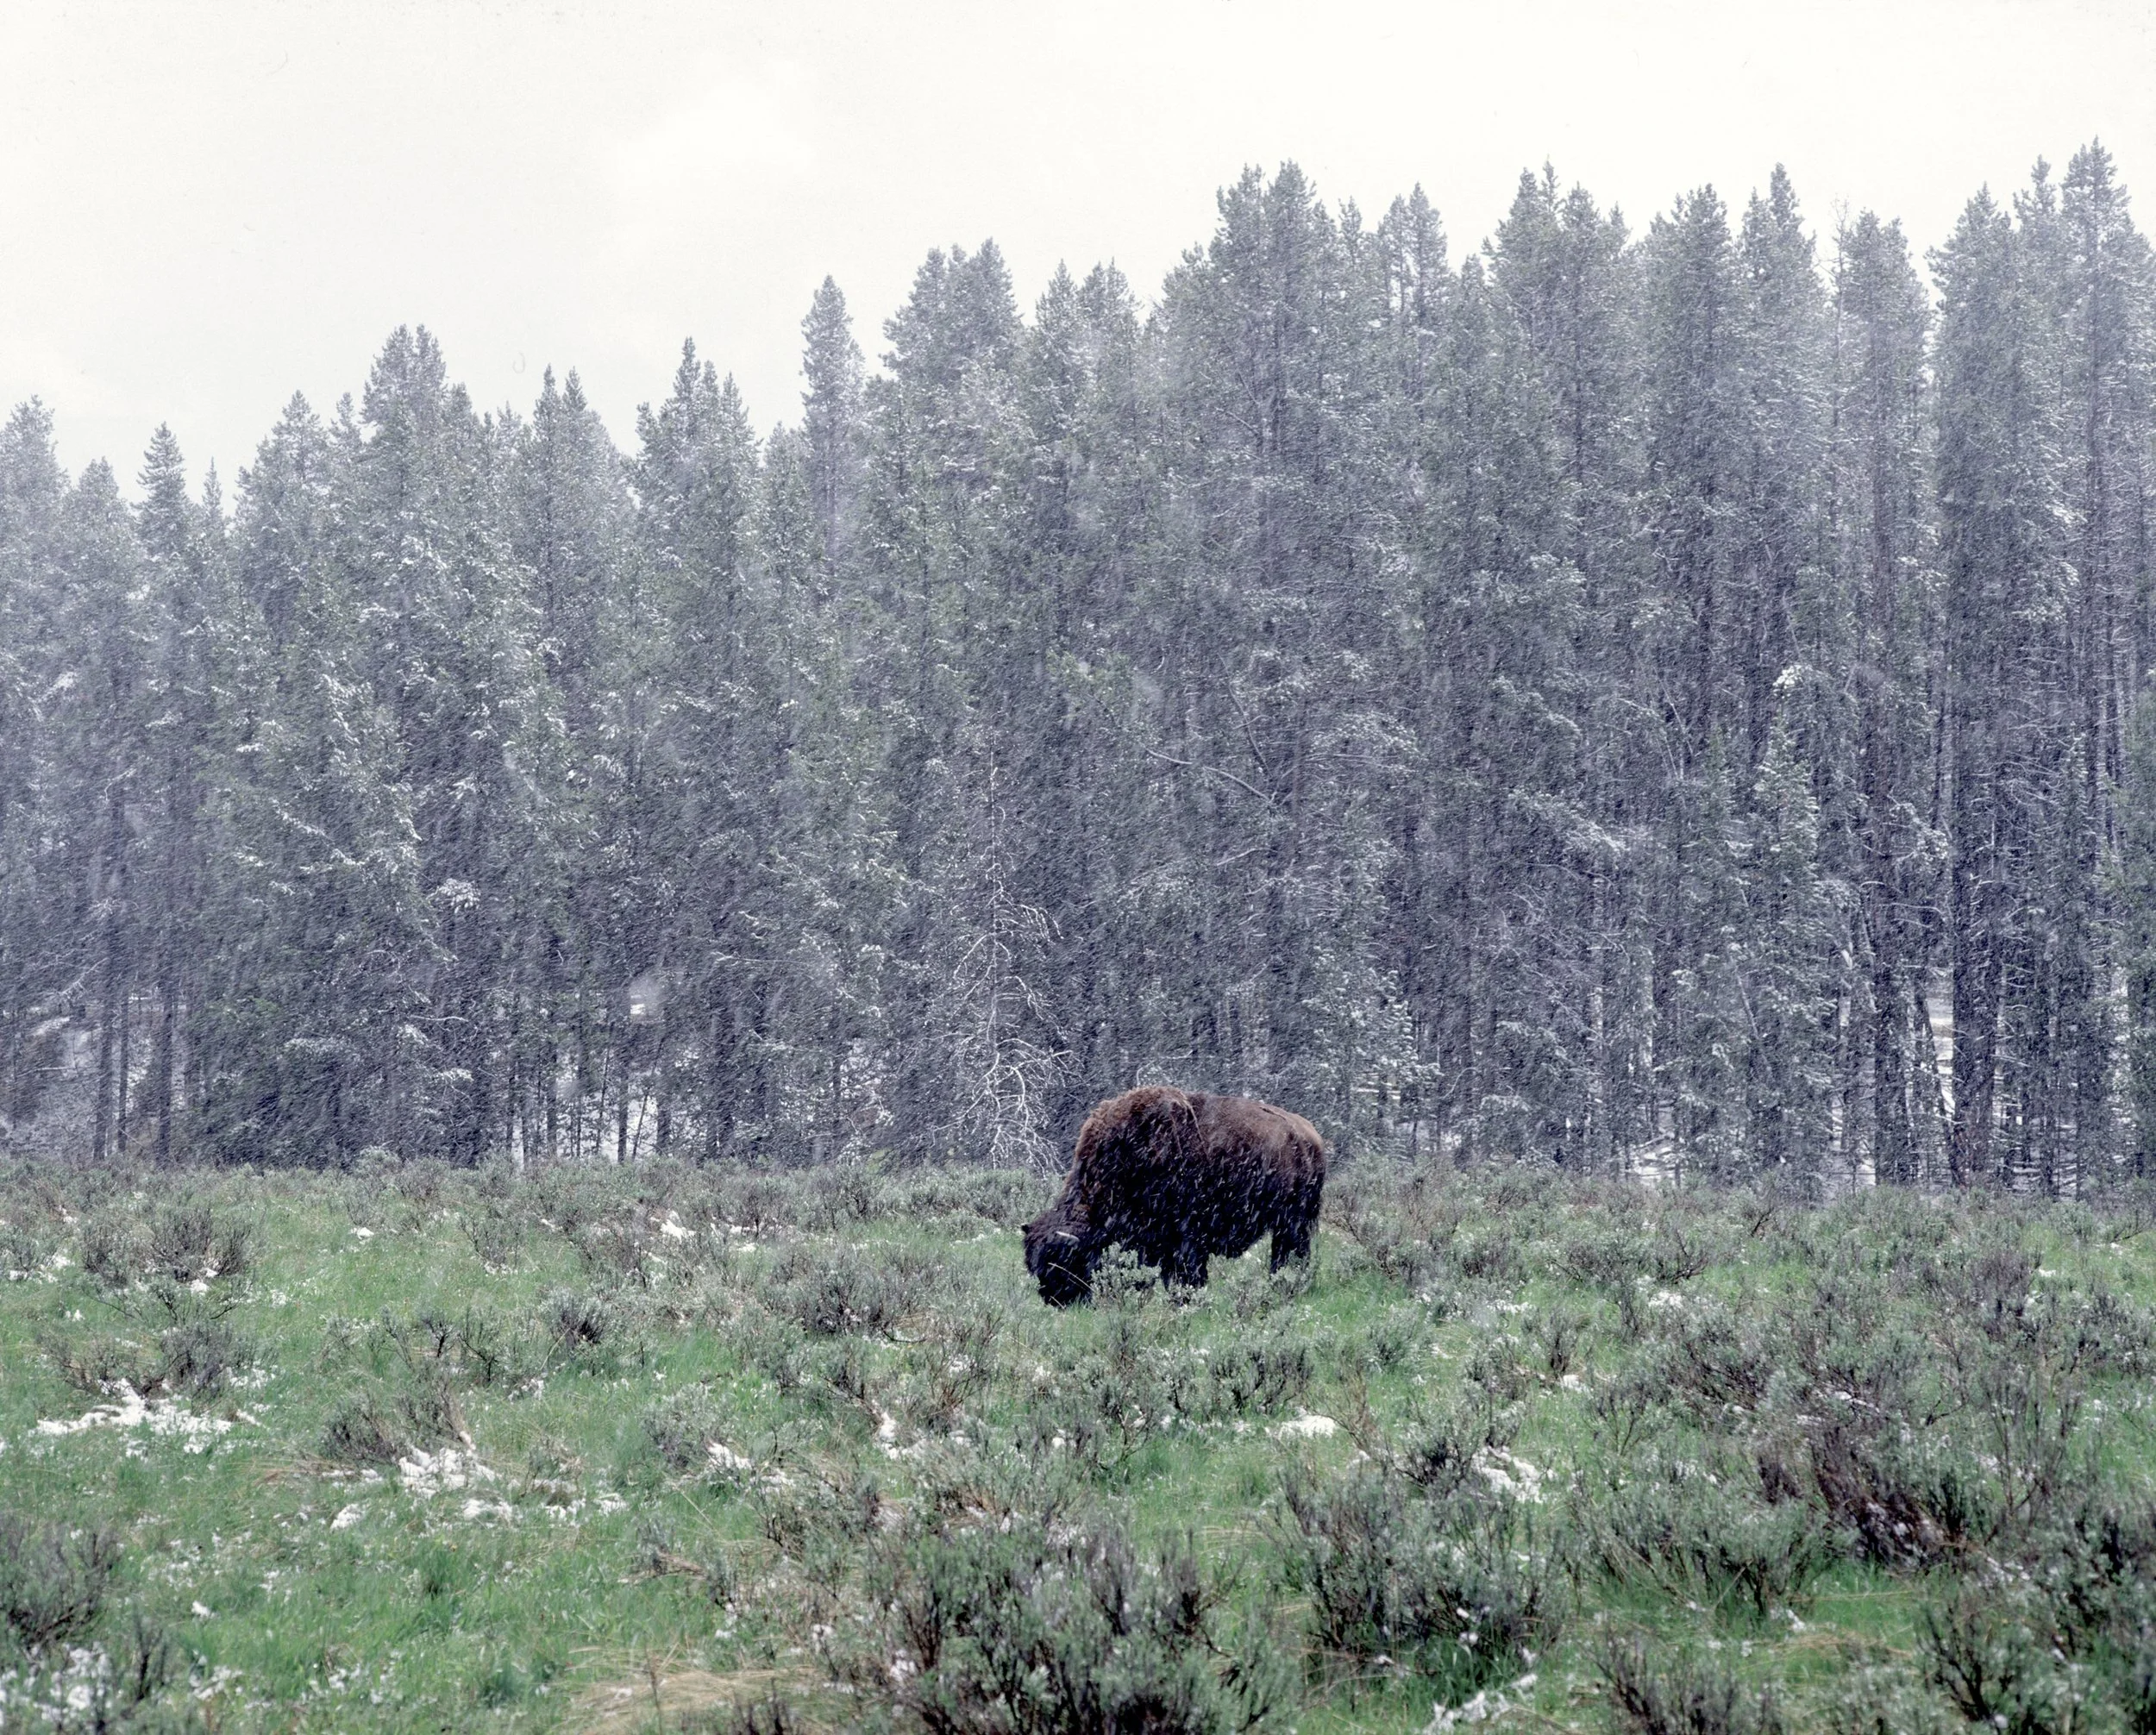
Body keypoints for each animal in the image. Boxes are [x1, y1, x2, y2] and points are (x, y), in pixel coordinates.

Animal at [1022, 1086, 1326, 1304]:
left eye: (1062, 1262)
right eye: (1033, 1265)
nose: (1054, 1300)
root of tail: (1309, 1136)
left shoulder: (1184, 1238)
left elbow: (1187, 1274)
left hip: (1291, 1222)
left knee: (1290, 1254)